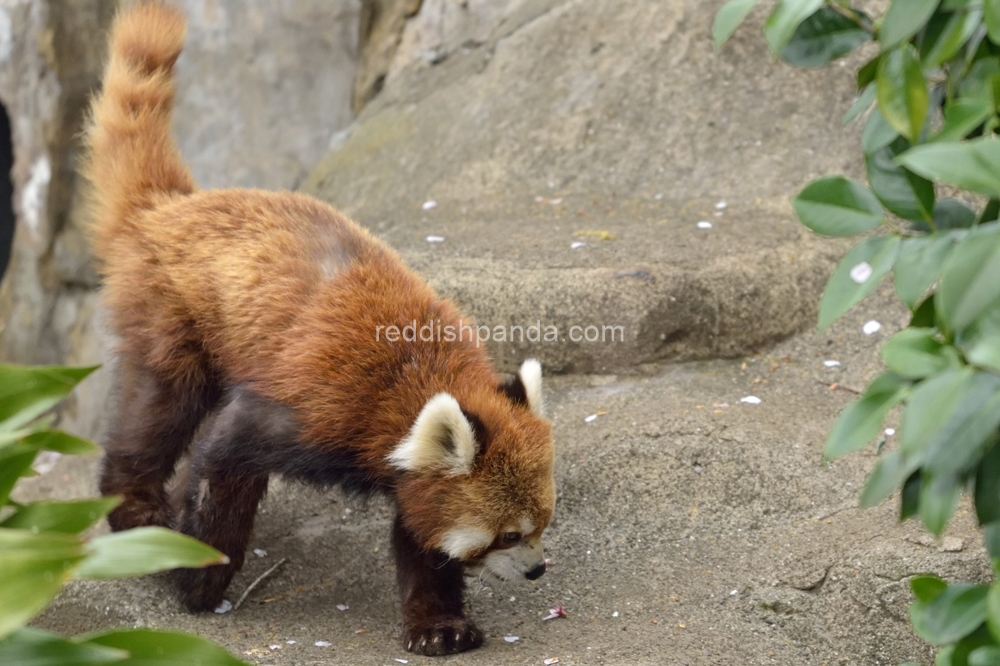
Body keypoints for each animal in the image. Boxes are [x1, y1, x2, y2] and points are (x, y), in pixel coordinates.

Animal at [84, 1, 556, 652]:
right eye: (508, 535)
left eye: (543, 523)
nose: (537, 569)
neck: (413, 378)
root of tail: (170, 209)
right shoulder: (313, 407)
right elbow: (223, 459)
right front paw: (198, 577)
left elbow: (421, 535)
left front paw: (438, 625)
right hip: (172, 315)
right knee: (157, 410)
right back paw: (139, 510)